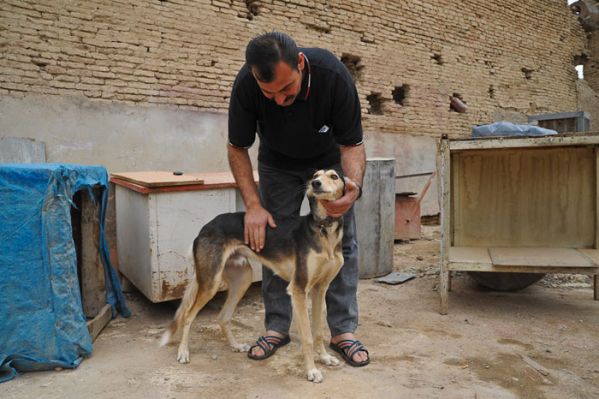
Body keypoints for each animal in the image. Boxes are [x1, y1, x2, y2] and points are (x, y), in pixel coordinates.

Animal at [161, 169, 346, 384]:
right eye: (315, 175)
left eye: (334, 176)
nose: (315, 184)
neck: (324, 228)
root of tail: (205, 227)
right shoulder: (299, 289)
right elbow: (307, 337)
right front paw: (312, 371)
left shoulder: (319, 289)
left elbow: (318, 331)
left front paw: (325, 358)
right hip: (210, 282)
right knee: (189, 315)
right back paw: (183, 352)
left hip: (243, 279)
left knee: (223, 317)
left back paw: (235, 346)